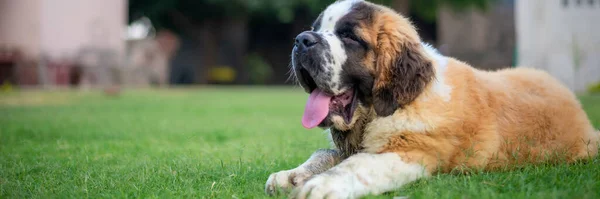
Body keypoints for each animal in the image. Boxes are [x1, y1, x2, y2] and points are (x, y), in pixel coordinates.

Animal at [266, 0, 600, 198]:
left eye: (349, 36)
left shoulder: (413, 152)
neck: (397, 102)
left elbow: (356, 165)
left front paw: (320, 185)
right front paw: (291, 176)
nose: (302, 40)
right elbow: (326, 153)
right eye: (316, 29)